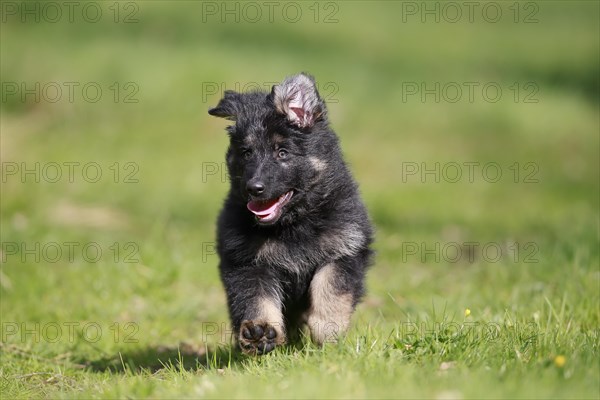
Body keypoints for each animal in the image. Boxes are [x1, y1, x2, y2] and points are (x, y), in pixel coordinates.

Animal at [209, 73, 372, 354]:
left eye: (282, 152)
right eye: (246, 153)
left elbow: (330, 288)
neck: (294, 224)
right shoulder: (247, 263)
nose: (254, 188)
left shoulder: (344, 251)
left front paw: (328, 328)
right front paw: (260, 331)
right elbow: (256, 298)